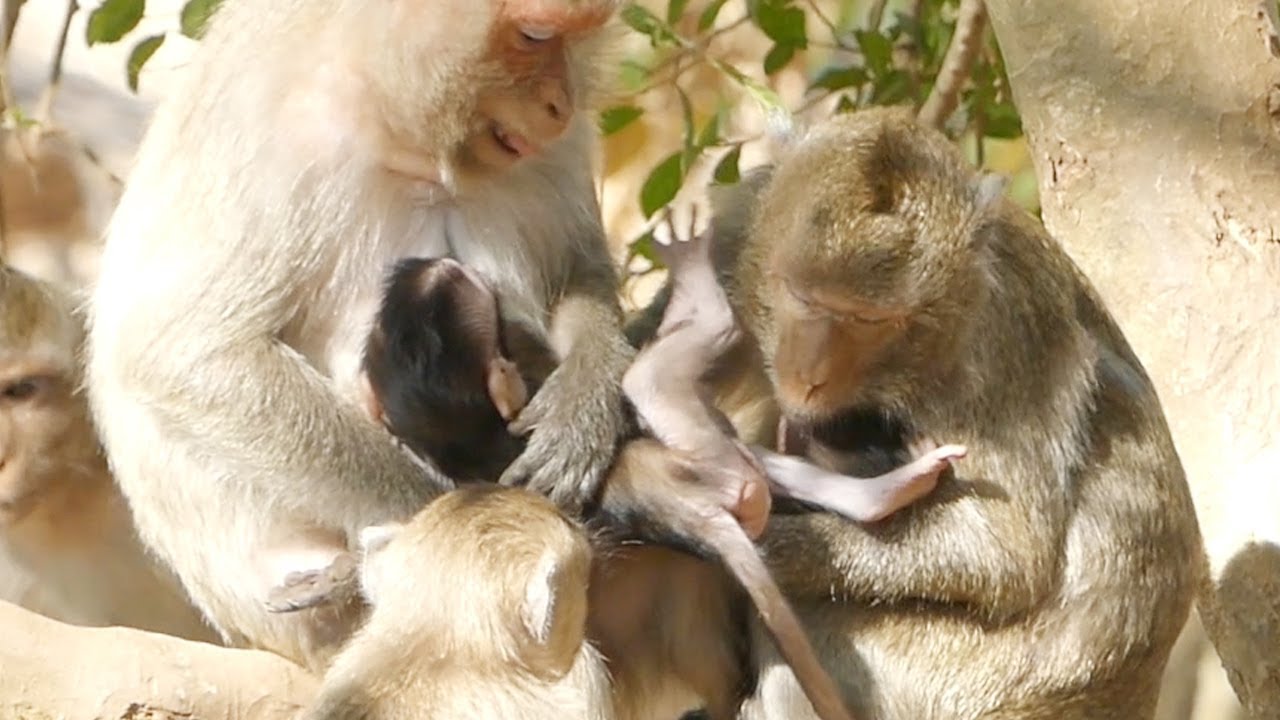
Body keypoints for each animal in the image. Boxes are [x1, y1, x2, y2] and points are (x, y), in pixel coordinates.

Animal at [86, 0, 634, 670]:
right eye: (532, 36)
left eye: (576, 36)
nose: (560, 102)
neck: (393, 113)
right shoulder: (275, 137)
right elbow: (186, 355)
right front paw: (436, 525)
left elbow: (578, 271)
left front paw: (583, 404)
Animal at [666, 107, 1203, 719]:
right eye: (802, 297)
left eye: (871, 320)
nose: (811, 374)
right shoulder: (740, 222)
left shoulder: (999, 334)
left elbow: (1002, 554)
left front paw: (768, 545)